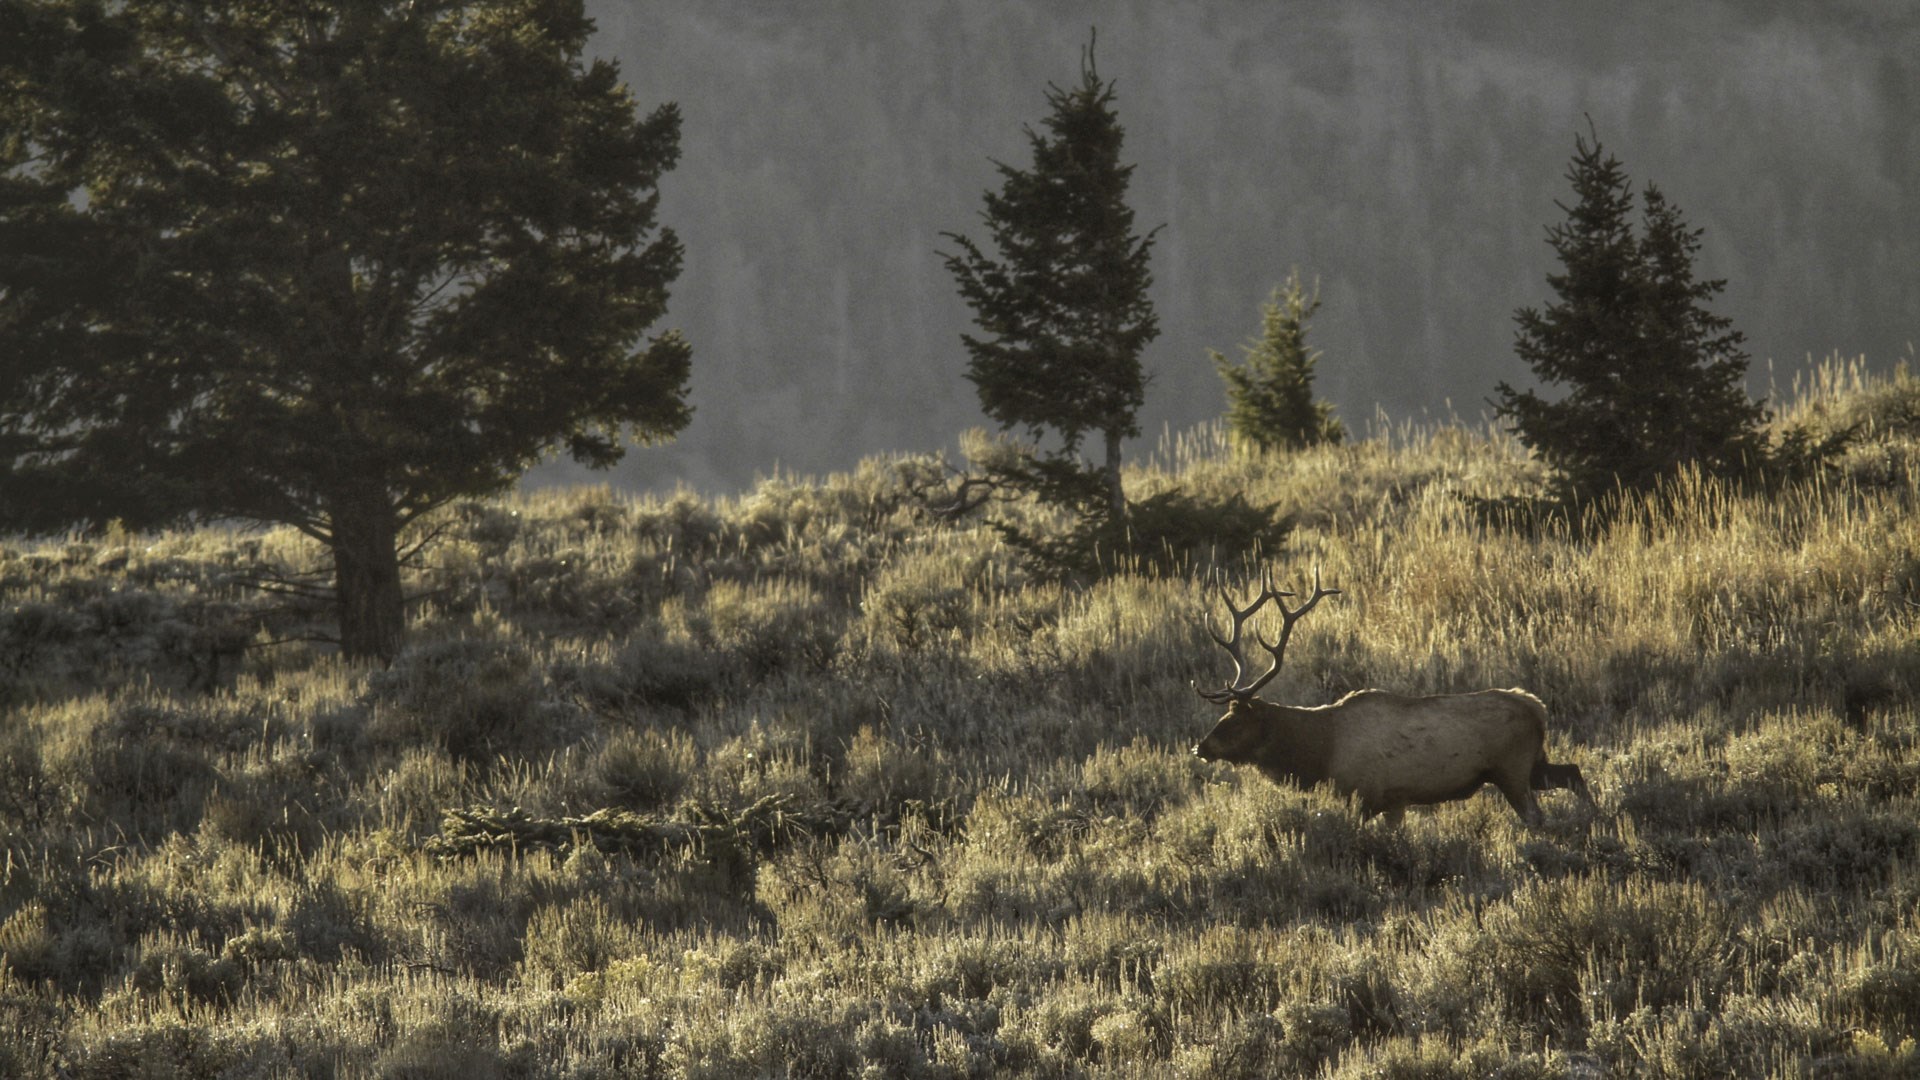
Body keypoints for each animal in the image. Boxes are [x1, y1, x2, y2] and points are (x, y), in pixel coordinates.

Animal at [1190, 571, 1594, 826]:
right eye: (1225, 714)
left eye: (1236, 719)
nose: (1200, 747)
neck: (1321, 752)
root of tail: (1537, 708)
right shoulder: (1394, 802)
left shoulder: (1366, 794)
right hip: (1532, 763)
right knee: (1573, 772)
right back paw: (1596, 820)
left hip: (1511, 768)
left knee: (1537, 815)